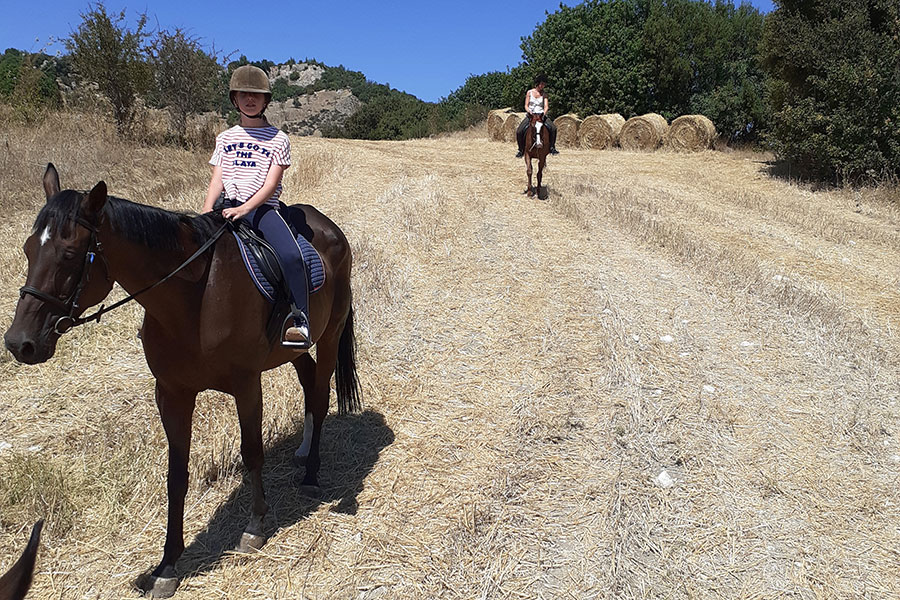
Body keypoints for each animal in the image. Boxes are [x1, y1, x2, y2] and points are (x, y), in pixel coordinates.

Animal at [3, 164, 361, 598]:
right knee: (309, 381)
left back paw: (311, 474)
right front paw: (167, 566)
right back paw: (304, 451)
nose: (19, 343)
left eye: (69, 255)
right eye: (27, 250)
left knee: (321, 396)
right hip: (293, 349)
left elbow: (252, 452)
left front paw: (255, 526)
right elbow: (176, 476)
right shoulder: (172, 393)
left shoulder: (246, 384)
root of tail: (328, 227)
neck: (194, 297)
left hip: (329, 335)